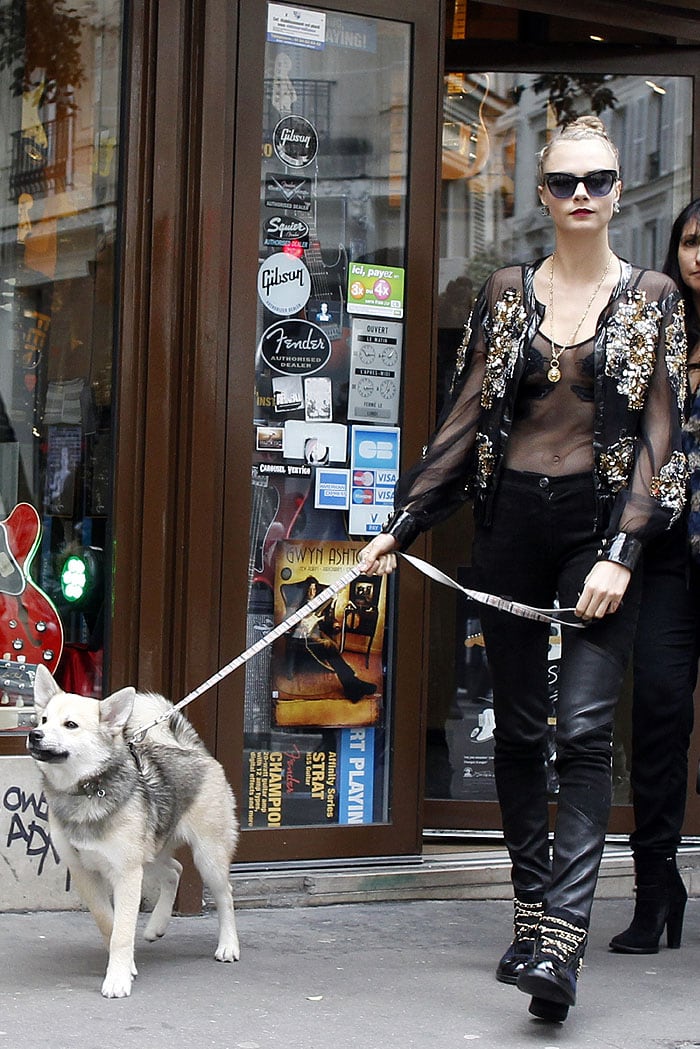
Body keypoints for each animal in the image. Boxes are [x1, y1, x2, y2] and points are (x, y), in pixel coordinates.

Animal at [27, 662, 239, 998]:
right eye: (44, 719)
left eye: (70, 725)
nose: (34, 734)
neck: (87, 790)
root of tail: (191, 750)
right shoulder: (86, 873)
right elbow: (109, 923)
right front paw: (127, 966)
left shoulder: (126, 874)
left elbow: (123, 931)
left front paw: (118, 979)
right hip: (150, 854)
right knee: (175, 870)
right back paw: (157, 925)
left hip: (208, 857)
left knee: (225, 895)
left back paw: (228, 945)